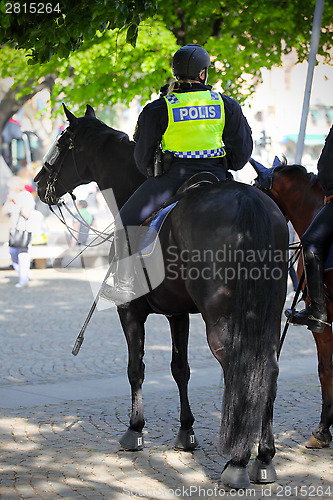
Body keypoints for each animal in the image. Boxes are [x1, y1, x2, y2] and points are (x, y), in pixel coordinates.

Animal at [34, 104, 288, 488]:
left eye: (62, 145)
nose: (37, 184)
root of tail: (246, 200)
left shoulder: (130, 310)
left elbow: (135, 367)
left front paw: (135, 429)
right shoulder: (177, 313)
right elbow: (180, 369)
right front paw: (186, 432)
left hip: (223, 318)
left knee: (238, 368)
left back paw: (237, 462)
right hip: (268, 314)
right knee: (268, 370)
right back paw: (264, 457)